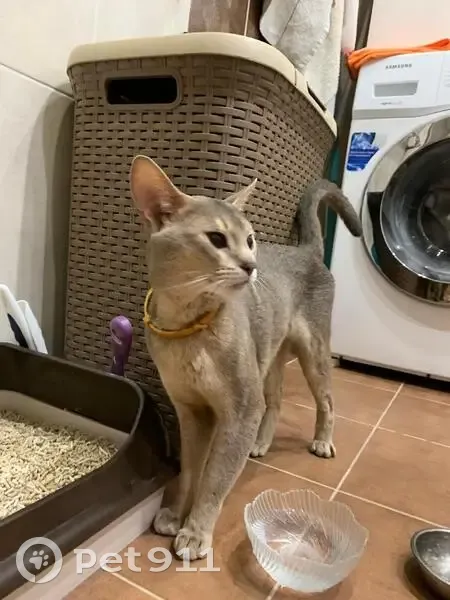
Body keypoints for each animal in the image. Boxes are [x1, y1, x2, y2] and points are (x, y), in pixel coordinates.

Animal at [129, 155, 362, 560]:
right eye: (217, 239)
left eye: (251, 240)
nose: (252, 266)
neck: (187, 328)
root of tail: (306, 250)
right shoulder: (190, 409)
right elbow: (190, 470)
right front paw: (175, 514)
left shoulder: (240, 409)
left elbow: (215, 479)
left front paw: (196, 532)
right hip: (268, 357)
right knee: (276, 400)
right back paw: (261, 443)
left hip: (312, 353)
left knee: (328, 401)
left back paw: (322, 442)